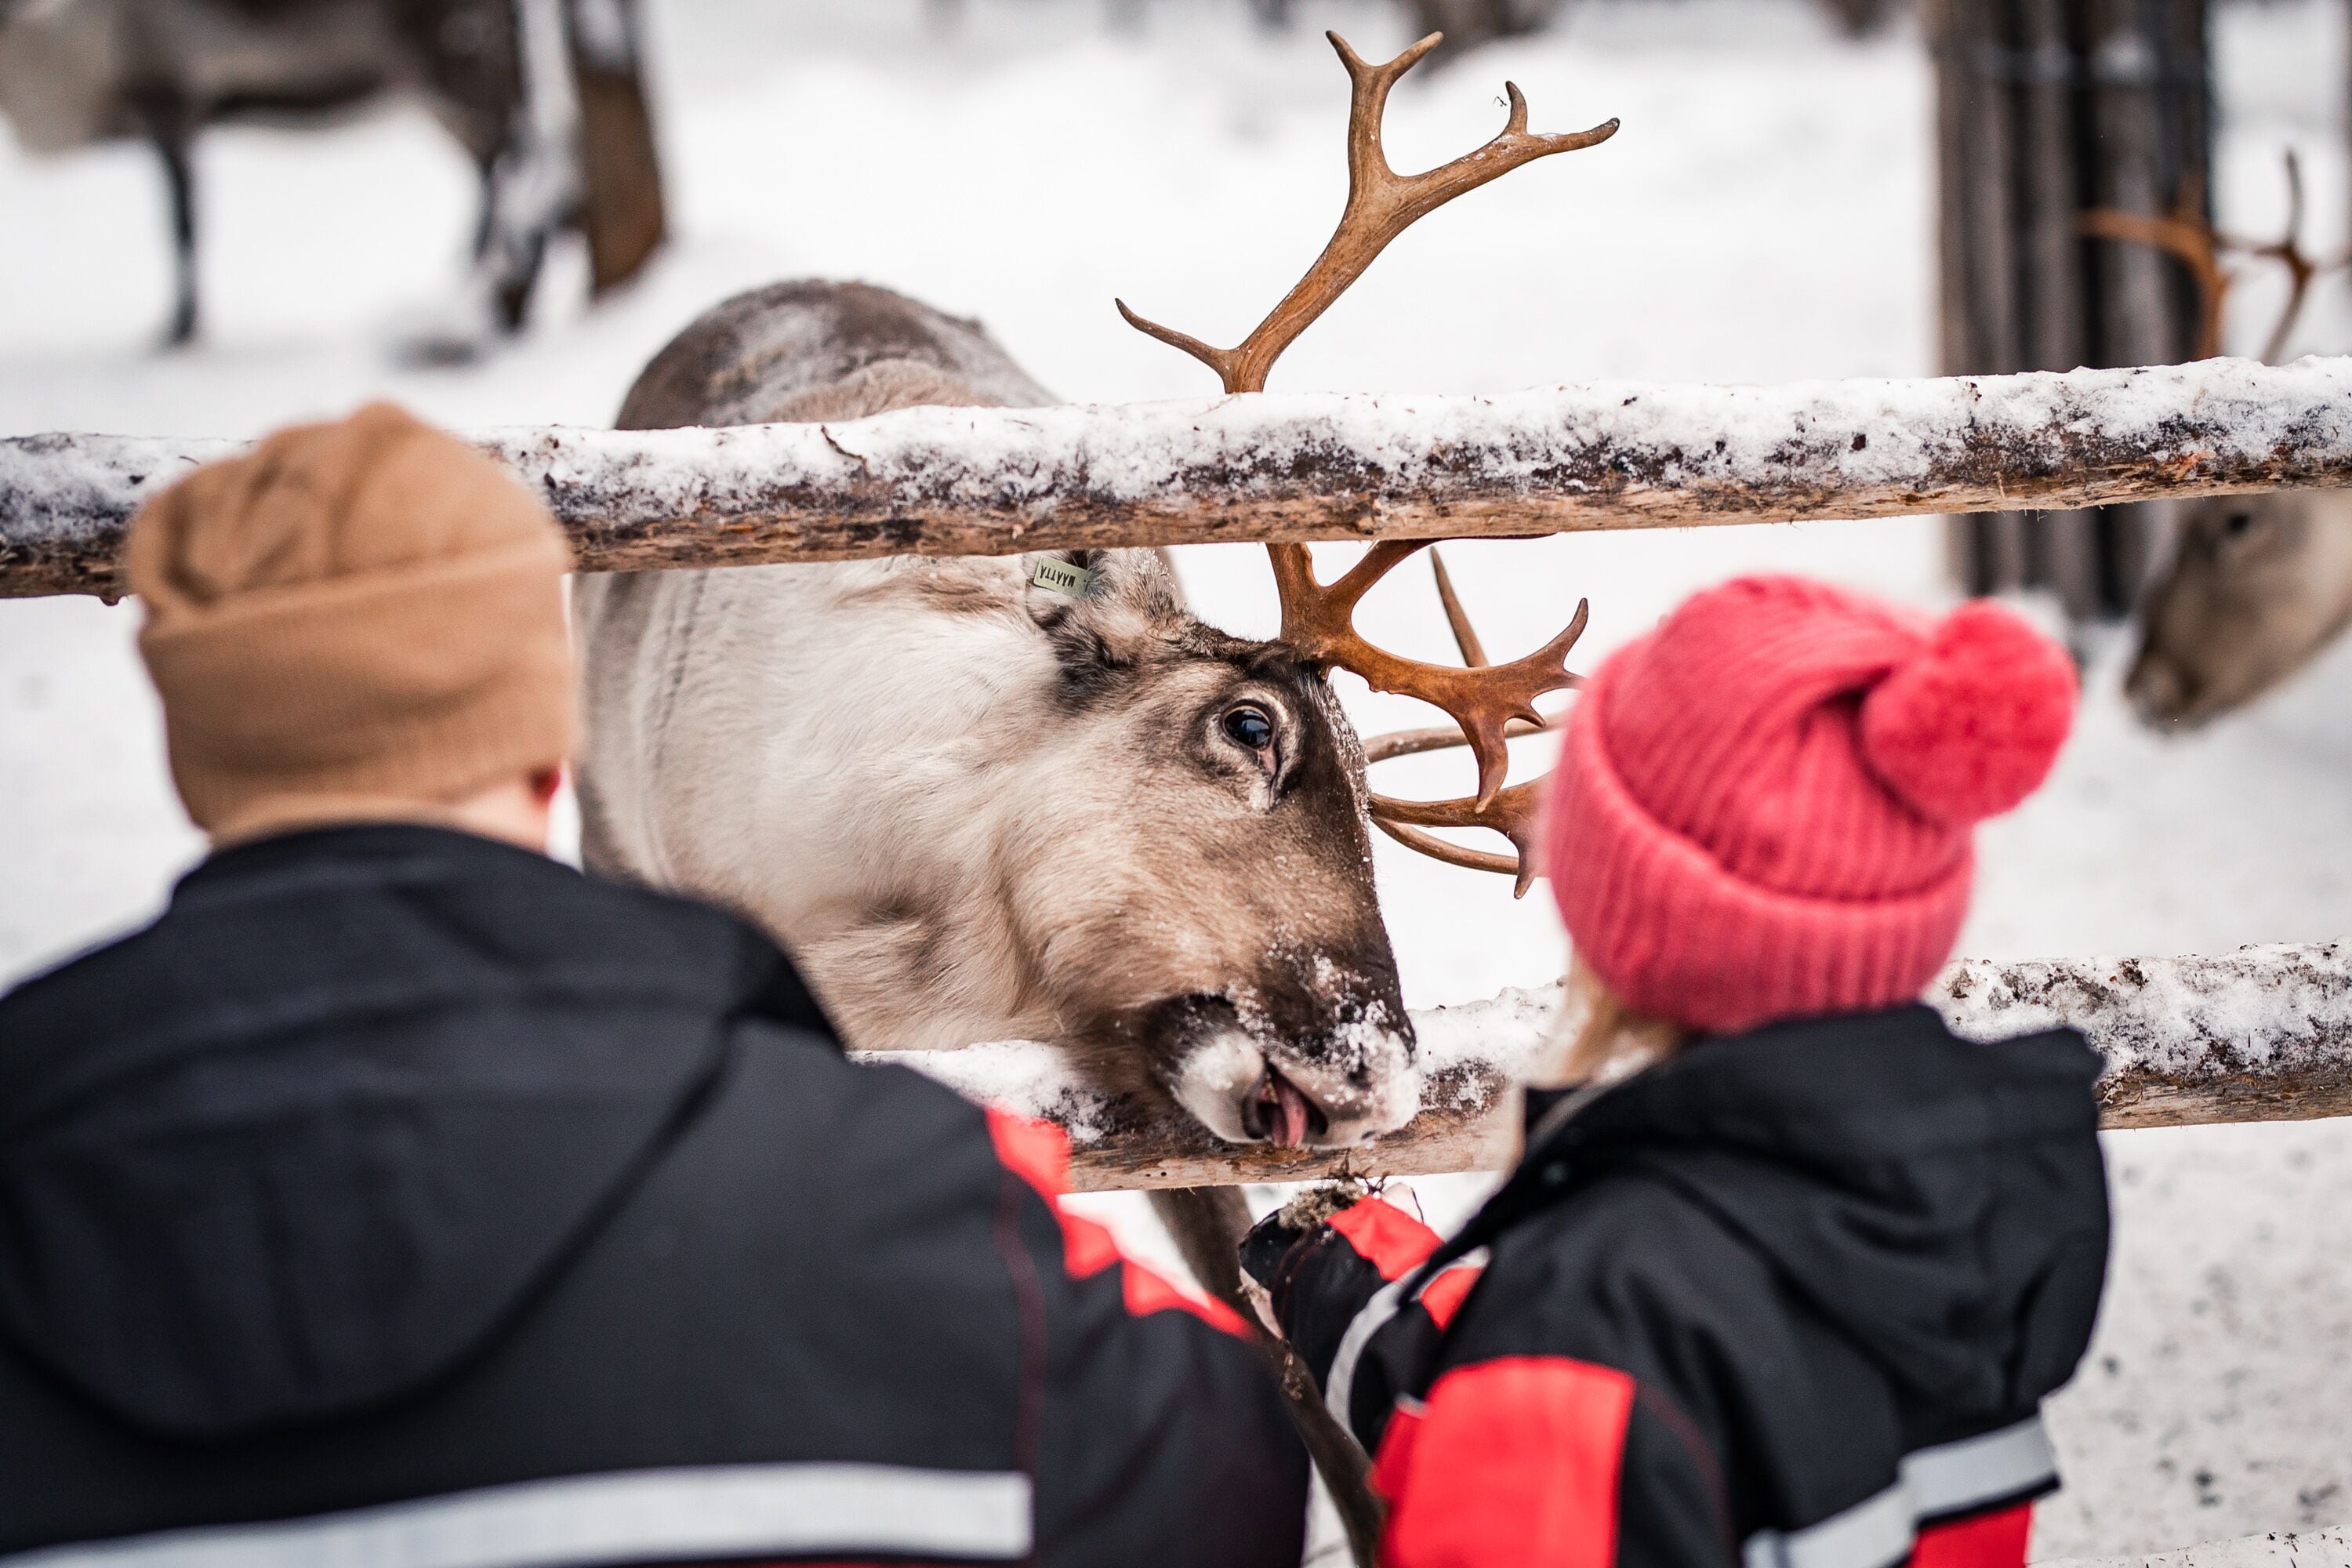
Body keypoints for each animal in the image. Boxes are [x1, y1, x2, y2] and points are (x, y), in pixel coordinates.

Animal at [0, 0, 663, 349]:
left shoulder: (170, 102)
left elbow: (182, 227)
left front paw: (179, 330)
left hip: (460, 63)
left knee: (527, 151)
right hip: (441, 88)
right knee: (497, 162)